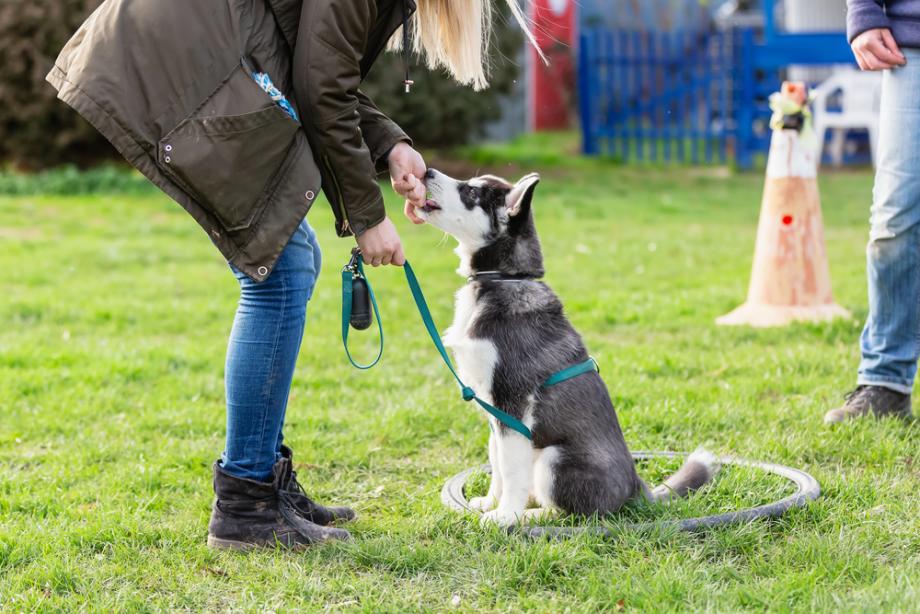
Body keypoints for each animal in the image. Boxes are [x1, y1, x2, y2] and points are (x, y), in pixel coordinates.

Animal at [416, 171, 720, 528]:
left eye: (471, 191)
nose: (426, 172)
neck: (502, 279)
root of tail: (637, 486)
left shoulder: (513, 403)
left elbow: (511, 470)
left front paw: (505, 515)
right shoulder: (494, 410)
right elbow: (497, 461)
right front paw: (490, 503)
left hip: (554, 459)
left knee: (576, 513)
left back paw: (532, 514)